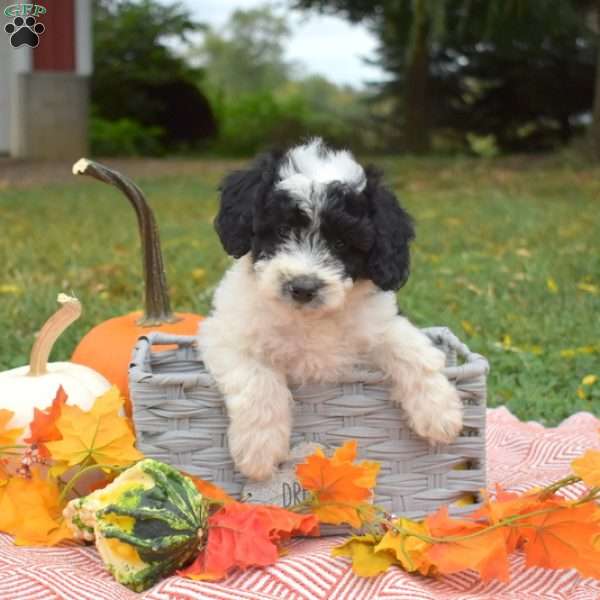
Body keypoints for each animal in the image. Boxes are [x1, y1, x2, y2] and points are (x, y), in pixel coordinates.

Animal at [199, 138, 462, 480]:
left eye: (340, 244)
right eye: (283, 230)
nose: (303, 287)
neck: (310, 319)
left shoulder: (378, 324)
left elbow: (411, 348)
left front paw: (439, 409)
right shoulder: (224, 333)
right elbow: (257, 378)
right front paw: (260, 449)